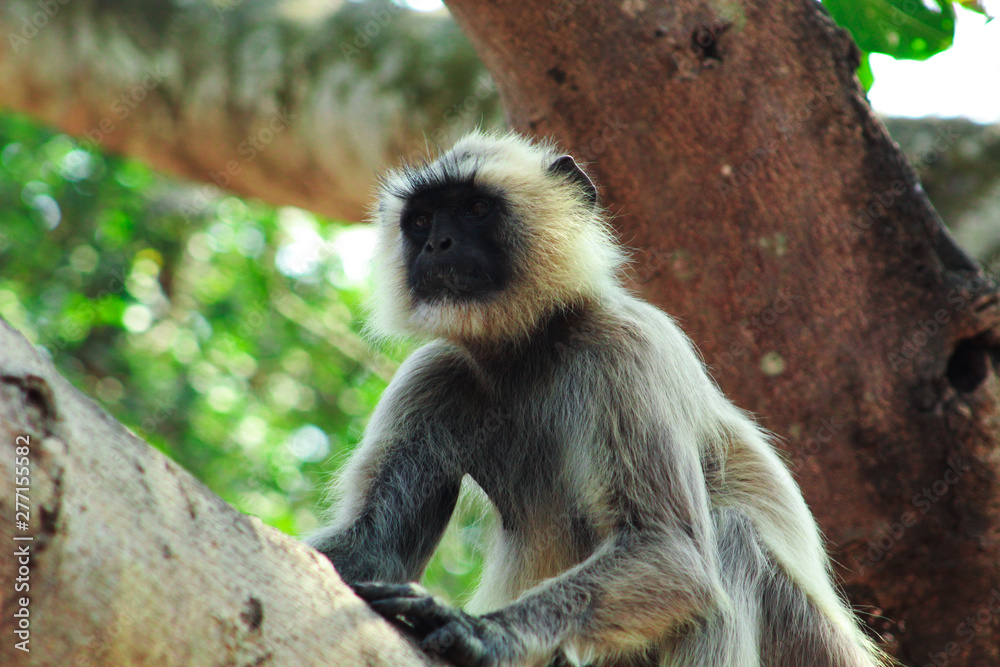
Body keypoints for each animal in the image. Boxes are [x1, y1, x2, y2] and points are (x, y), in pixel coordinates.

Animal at [306, 131, 890, 667]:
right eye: (422, 222)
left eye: (474, 209)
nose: (437, 246)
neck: (529, 352)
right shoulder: (434, 377)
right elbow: (372, 550)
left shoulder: (625, 347)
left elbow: (672, 551)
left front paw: (486, 632)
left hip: (812, 645)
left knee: (730, 538)